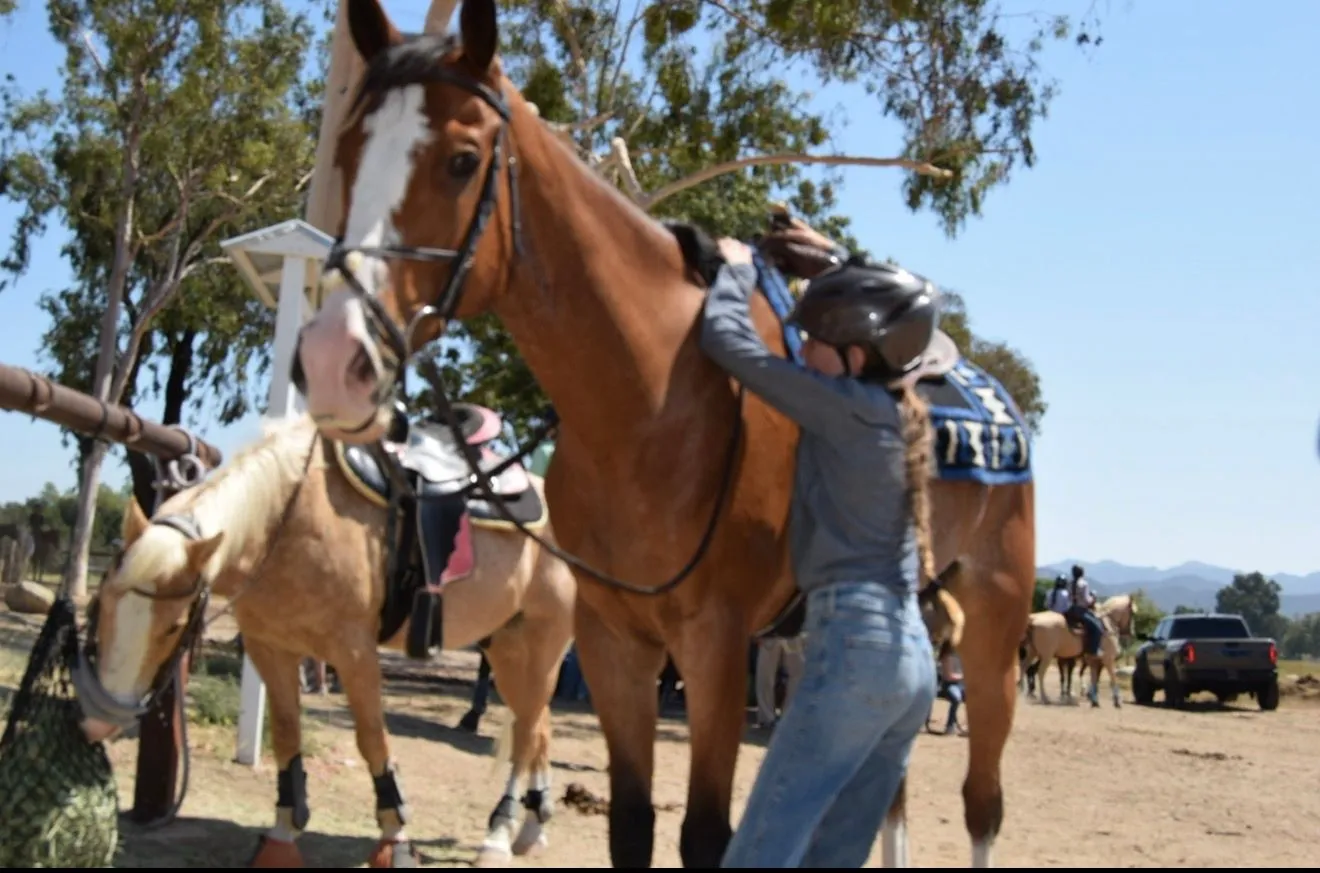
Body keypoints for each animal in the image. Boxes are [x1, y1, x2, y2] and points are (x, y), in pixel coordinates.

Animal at [75, 413, 576, 868]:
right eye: (100, 607)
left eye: (173, 626)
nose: (99, 723)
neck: (284, 519)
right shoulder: (269, 647)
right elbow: (286, 733)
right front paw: (283, 831)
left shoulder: (353, 652)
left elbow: (372, 739)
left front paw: (395, 836)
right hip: (506, 647)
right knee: (540, 726)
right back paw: (532, 828)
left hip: (543, 642)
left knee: (527, 732)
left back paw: (499, 835)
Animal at [289, 1, 1037, 866]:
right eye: (347, 151)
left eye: (462, 158)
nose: (332, 360)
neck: (649, 405)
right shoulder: (614, 641)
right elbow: (632, 822)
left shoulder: (715, 646)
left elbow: (704, 831)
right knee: (890, 793)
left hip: (994, 629)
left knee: (982, 801)